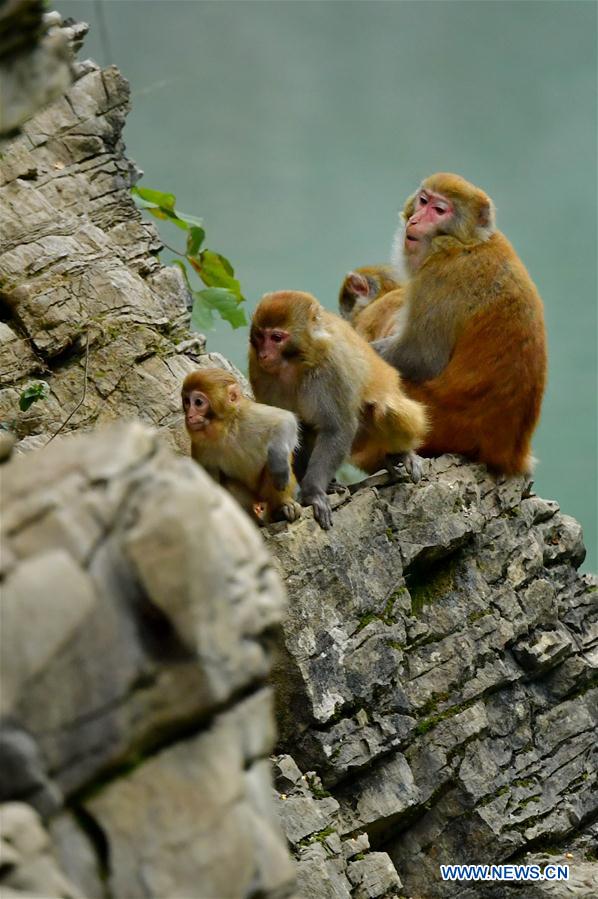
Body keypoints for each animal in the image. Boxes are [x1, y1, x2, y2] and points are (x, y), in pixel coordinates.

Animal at [181, 368, 301, 524]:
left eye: (198, 402)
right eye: (186, 402)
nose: (189, 416)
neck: (226, 428)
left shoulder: (249, 415)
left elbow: (284, 419)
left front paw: (279, 465)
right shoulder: (200, 446)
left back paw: (281, 507)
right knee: (230, 485)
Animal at [249, 291, 427, 529]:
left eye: (276, 338)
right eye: (260, 336)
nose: (264, 355)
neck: (296, 363)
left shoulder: (333, 366)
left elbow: (338, 428)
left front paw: (313, 492)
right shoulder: (259, 373)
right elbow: (291, 431)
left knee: (386, 409)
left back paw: (403, 453)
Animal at [370, 172, 547, 475]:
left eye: (439, 211)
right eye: (423, 200)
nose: (415, 220)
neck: (469, 243)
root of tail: (512, 455)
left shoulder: (441, 275)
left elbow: (421, 358)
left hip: (441, 426)